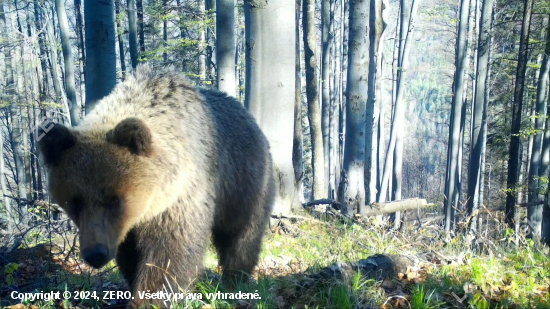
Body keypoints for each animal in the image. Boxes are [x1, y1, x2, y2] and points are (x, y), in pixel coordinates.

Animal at [36, 65, 276, 306]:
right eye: (75, 201)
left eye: (114, 199)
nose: (95, 253)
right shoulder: (125, 228)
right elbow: (131, 255)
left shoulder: (181, 197)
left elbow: (169, 255)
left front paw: (149, 299)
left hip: (245, 185)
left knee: (242, 237)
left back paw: (236, 281)